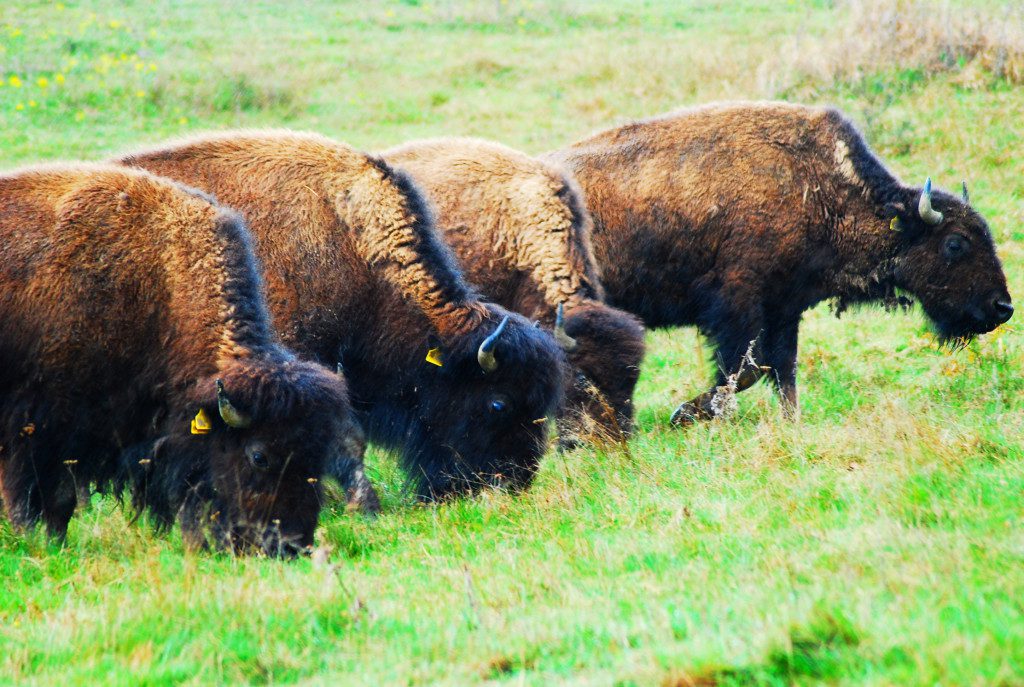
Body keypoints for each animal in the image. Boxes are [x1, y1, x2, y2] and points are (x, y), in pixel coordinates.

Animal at [0, 163, 360, 556]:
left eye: (318, 456)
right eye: (259, 456)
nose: (291, 546)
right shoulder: (43, 428)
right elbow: (50, 499)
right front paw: (43, 542)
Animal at [548, 101, 1011, 423]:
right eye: (955, 244)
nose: (1003, 307)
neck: (820, 189)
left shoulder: (784, 309)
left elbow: (781, 371)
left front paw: (792, 424)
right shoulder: (739, 305)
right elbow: (745, 370)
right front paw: (684, 414)